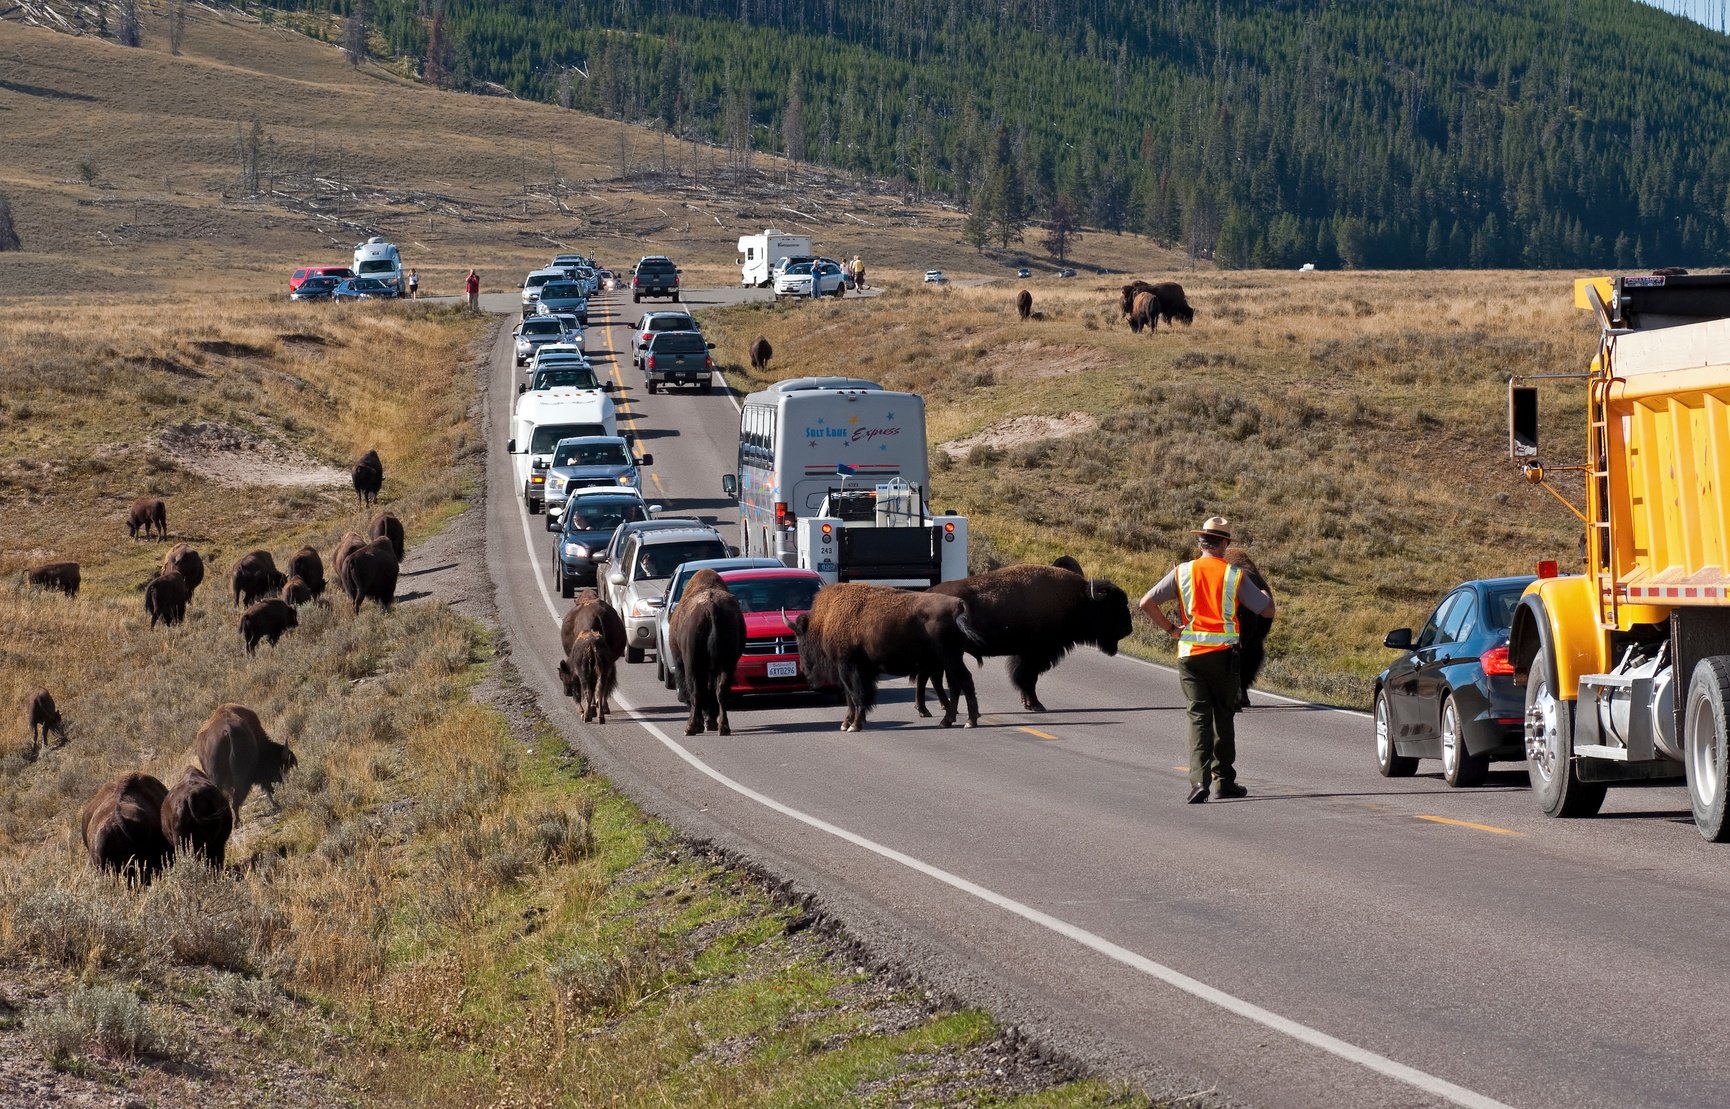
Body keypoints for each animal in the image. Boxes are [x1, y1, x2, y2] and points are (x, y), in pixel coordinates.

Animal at [667, 570, 743, 733]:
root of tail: (711, 607)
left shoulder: (681, 662)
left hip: (693, 664)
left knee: (697, 692)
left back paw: (690, 727)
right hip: (727, 664)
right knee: (720, 691)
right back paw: (723, 727)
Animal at [792, 584, 982, 730]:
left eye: (801, 640)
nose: (803, 669)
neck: (824, 620)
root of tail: (958, 605)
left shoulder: (849, 668)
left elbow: (856, 696)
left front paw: (854, 725)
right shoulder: (853, 671)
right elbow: (852, 697)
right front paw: (848, 723)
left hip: (950, 658)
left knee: (964, 681)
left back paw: (968, 721)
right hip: (950, 660)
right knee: (957, 683)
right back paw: (948, 721)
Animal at [913, 557, 1141, 712]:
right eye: (1112, 607)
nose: (1128, 629)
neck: (1077, 601)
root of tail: (925, 594)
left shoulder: (1026, 654)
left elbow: (1025, 678)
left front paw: (1028, 703)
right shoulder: (1035, 654)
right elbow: (1027, 678)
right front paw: (1036, 705)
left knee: (930, 675)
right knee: (932, 675)